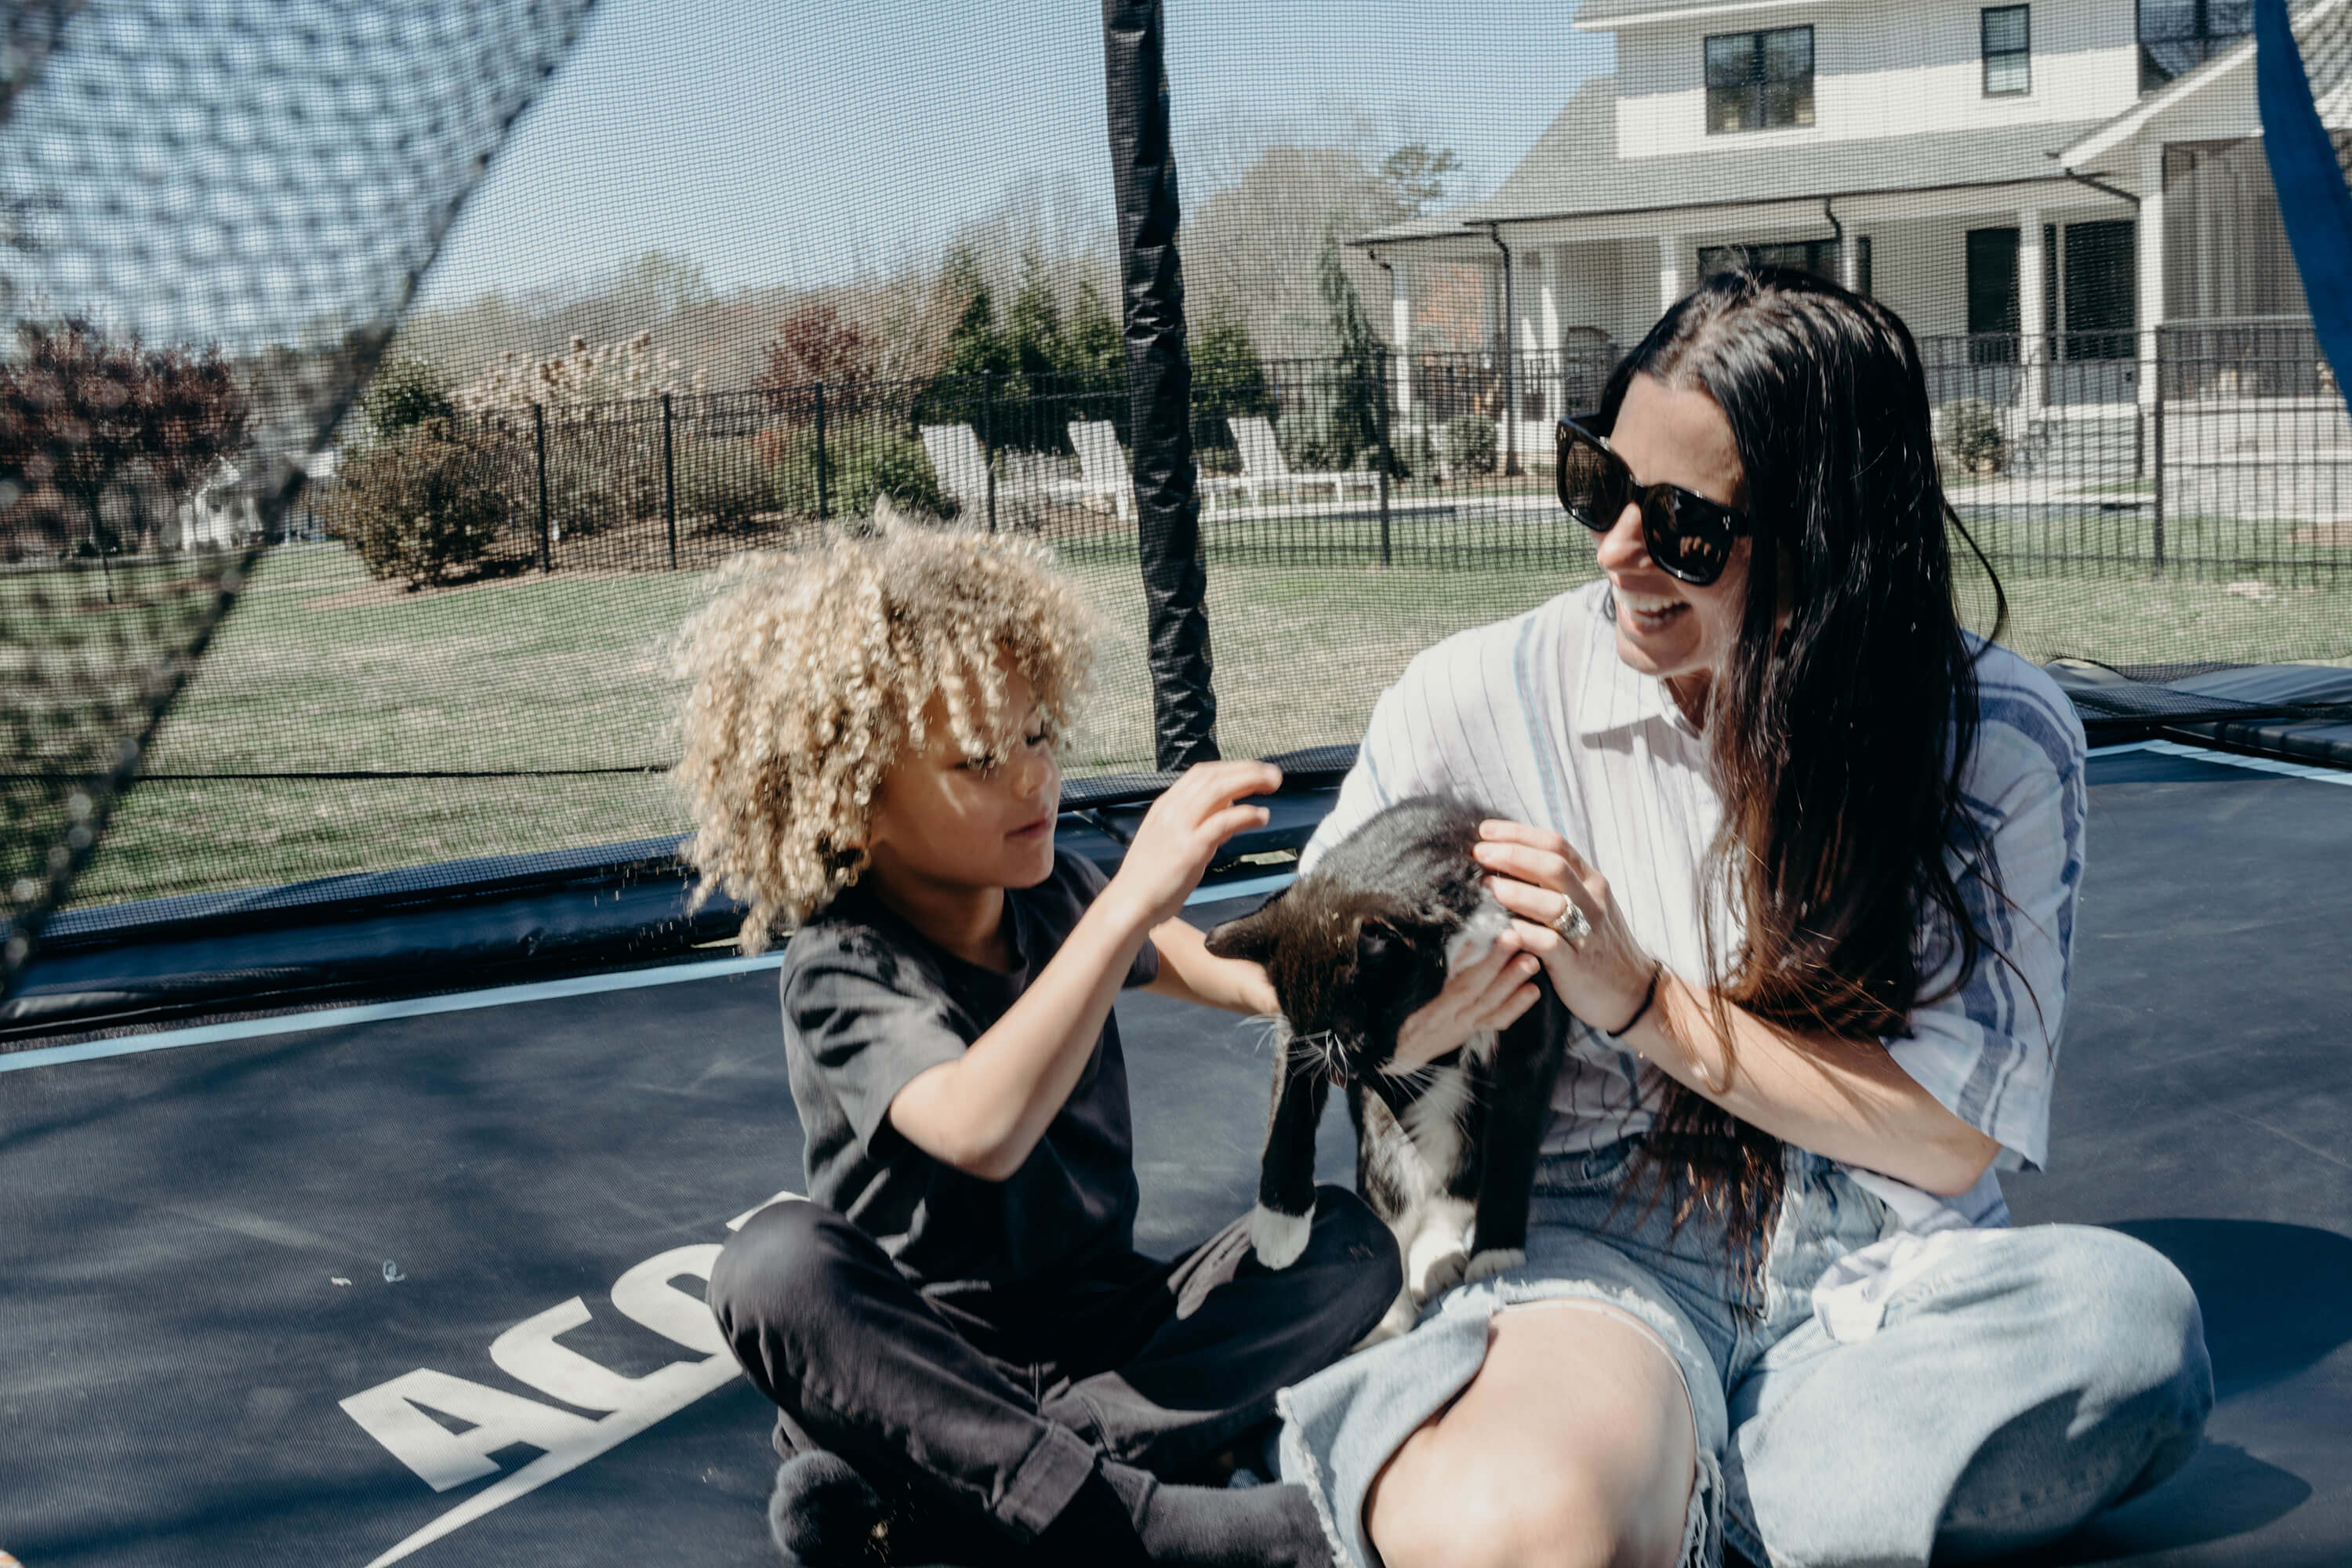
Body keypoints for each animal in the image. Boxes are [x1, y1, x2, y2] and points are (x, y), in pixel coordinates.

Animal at [1214, 804, 1562, 1345]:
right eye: (1341, 1051)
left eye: (1359, 1043)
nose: (1365, 1077)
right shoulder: (1296, 1030)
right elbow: (1289, 1105)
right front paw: (1279, 1220)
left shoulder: (1532, 1006)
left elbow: (1513, 1137)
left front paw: (1497, 1252)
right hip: (1384, 1152)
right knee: (1390, 1213)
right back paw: (1391, 1315)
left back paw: (1437, 1254)